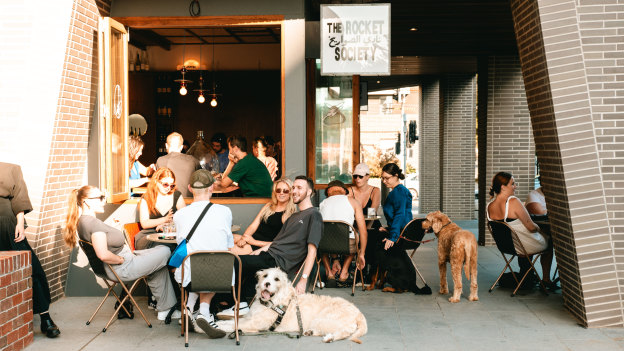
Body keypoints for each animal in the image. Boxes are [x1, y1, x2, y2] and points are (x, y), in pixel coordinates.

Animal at [217, 268, 368, 346]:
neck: (273, 302)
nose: (266, 283)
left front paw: (218, 325)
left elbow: (235, 325)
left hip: (325, 319)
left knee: (345, 332)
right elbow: (235, 320)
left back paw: (329, 338)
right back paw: (310, 332)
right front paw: (220, 322)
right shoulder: (250, 318)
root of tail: (359, 313)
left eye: (276, 279)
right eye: (265, 276)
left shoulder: (255, 323)